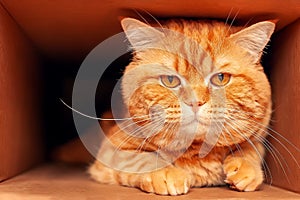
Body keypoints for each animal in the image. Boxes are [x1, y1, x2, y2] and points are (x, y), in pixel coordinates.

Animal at [88, 17, 274, 195]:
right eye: (170, 80)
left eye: (220, 78)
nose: (195, 102)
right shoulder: (111, 151)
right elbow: (143, 159)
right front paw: (166, 173)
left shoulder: (257, 137)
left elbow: (251, 149)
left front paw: (246, 167)